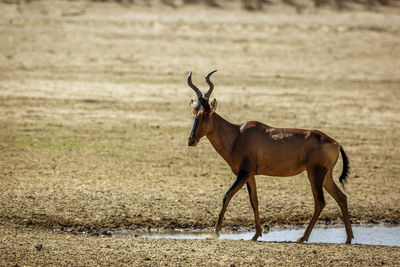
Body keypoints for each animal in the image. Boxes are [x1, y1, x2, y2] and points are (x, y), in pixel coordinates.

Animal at [187, 70, 354, 245]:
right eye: (194, 113)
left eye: (206, 114)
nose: (191, 140)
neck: (238, 135)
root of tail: (336, 143)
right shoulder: (250, 175)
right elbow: (254, 201)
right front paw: (256, 235)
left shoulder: (244, 174)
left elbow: (227, 196)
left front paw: (216, 232)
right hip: (326, 176)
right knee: (341, 197)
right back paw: (348, 238)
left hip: (314, 174)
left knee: (320, 202)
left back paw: (302, 237)